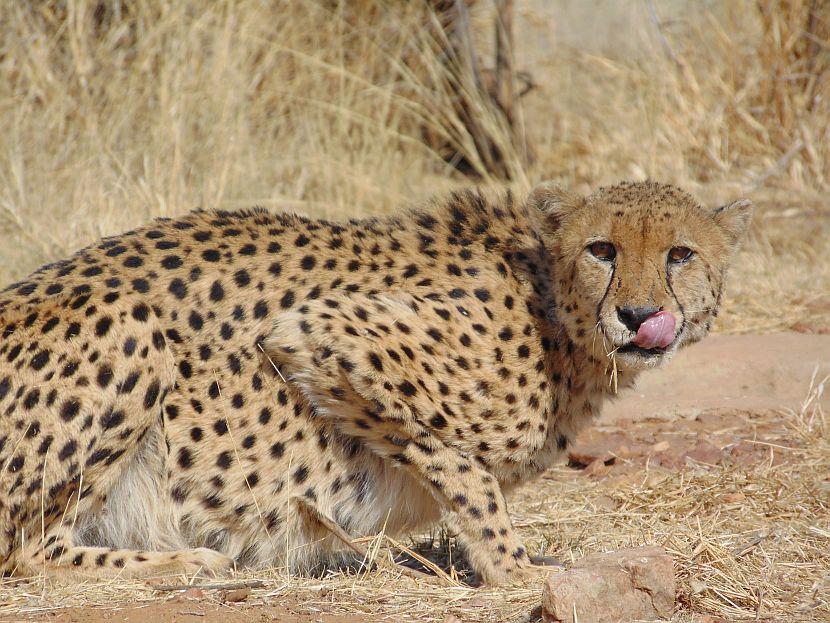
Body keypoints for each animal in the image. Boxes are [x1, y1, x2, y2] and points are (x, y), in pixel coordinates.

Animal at [0, 179, 752, 584]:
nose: (639, 315)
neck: (549, 304)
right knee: (26, 551)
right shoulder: (322, 331)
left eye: (680, 254)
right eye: (602, 249)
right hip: (126, 319)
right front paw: (513, 567)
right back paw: (183, 563)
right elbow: (463, 468)